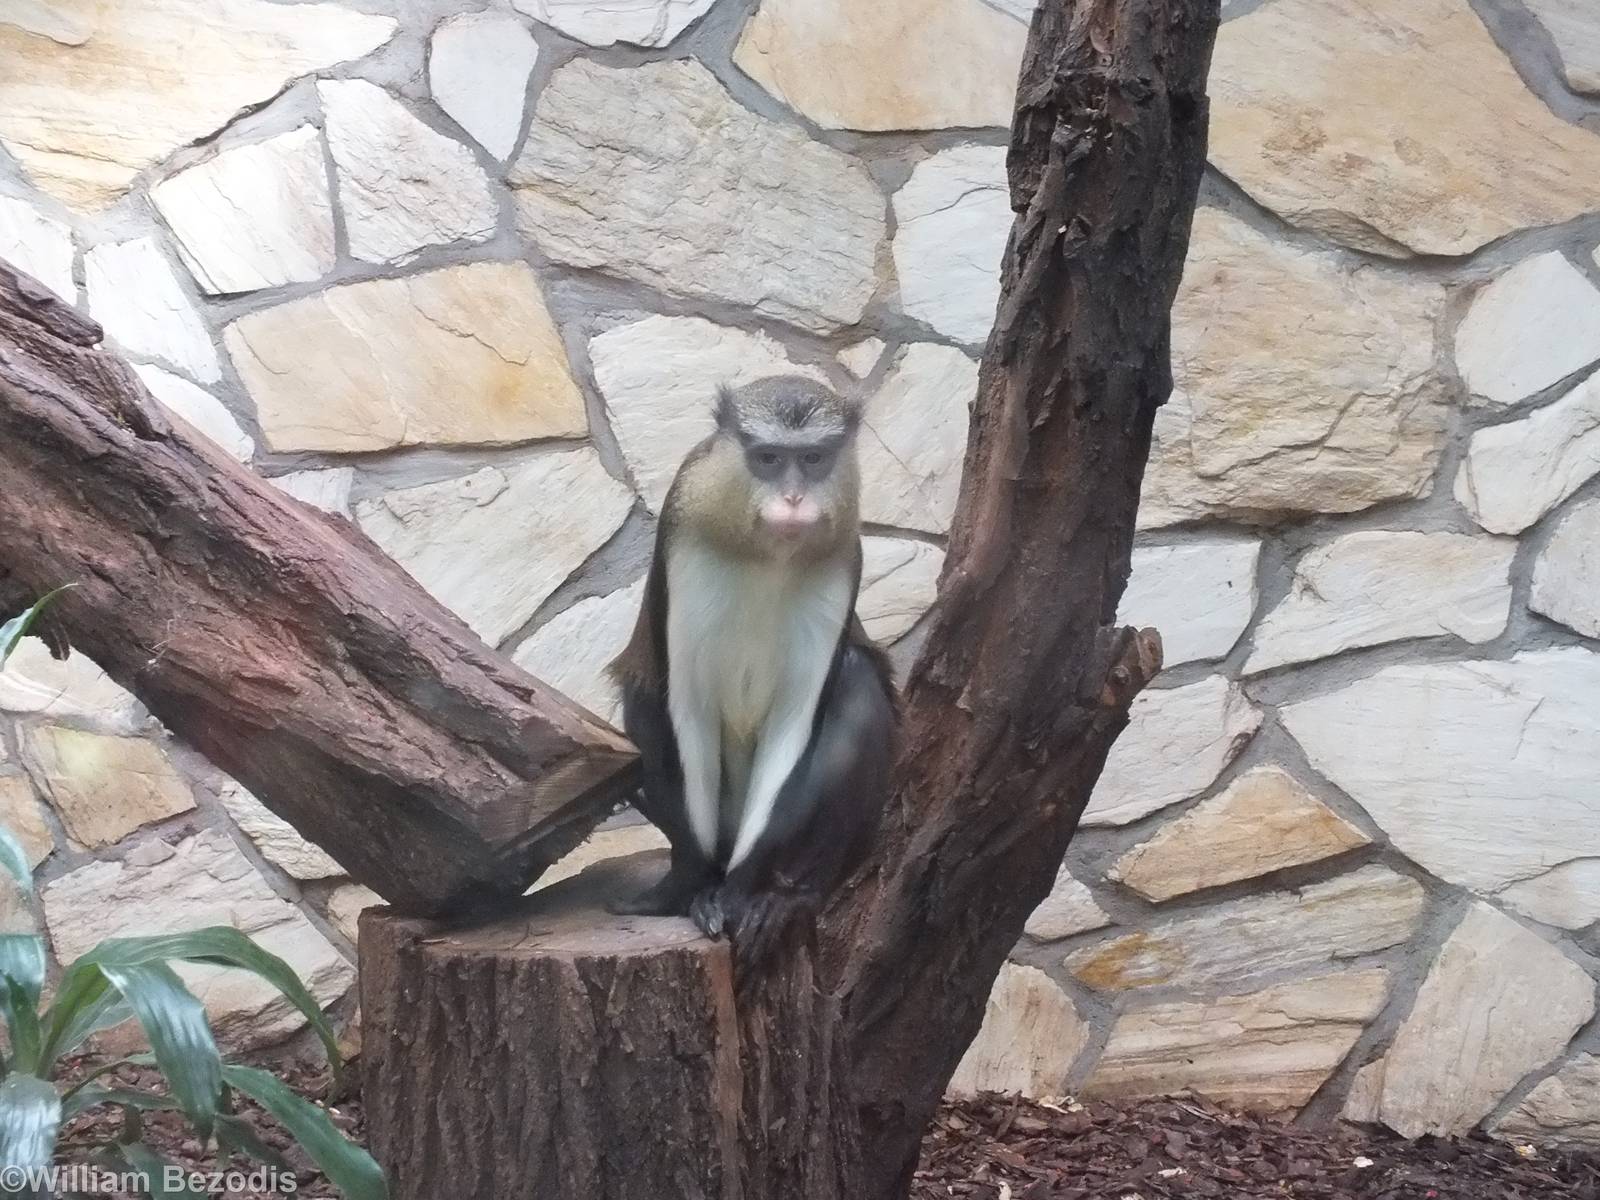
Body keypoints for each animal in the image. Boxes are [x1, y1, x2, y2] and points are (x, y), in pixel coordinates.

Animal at [608, 375, 897, 970]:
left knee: (858, 677)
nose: (793, 500)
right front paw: (695, 887)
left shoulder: (842, 561)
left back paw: (792, 894)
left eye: (813, 459)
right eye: (768, 458)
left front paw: (743, 893)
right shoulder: (683, 540)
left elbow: (795, 722)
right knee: (642, 695)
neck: (767, 557)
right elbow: (685, 705)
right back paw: (676, 887)